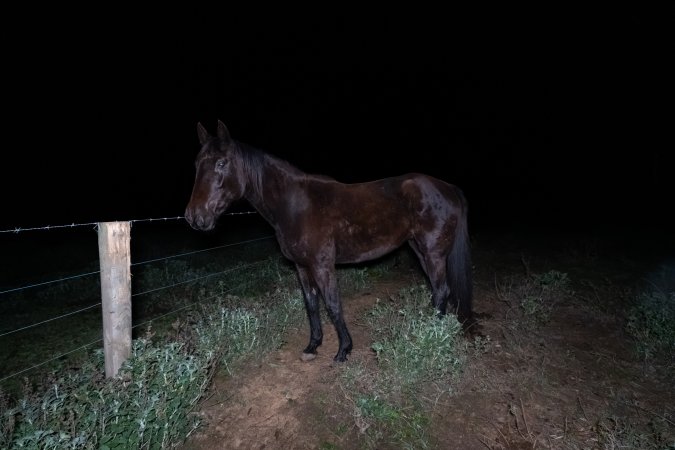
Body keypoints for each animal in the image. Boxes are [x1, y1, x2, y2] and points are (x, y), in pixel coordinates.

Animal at [185, 120, 474, 362]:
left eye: (222, 163)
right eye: (197, 163)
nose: (194, 216)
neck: (294, 204)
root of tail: (448, 188)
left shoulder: (322, 265)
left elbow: (333, 304)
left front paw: (343, 350)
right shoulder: (302, 267)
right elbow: (311, 304)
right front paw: (313, 346)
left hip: (433, 253)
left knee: (441, 290)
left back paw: (432, 332)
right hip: (420, 250)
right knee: (437, 289)